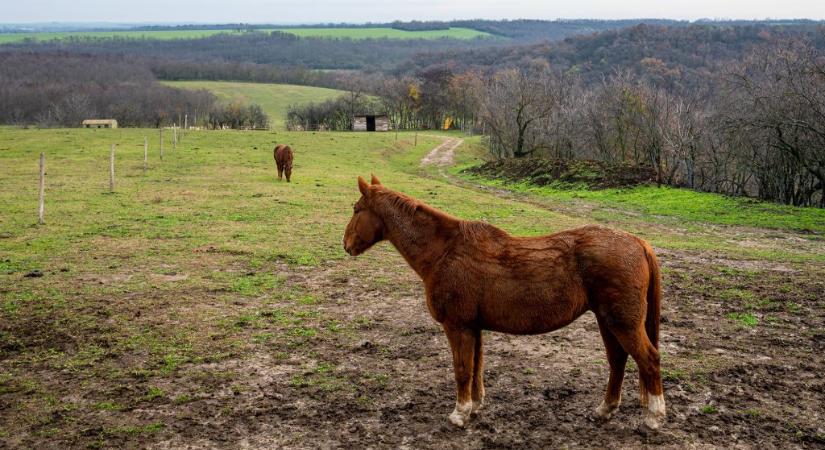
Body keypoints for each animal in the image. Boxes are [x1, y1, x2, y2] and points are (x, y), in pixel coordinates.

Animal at [344, 175, 668, 428]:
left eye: (357, 209)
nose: (346, 245)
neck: (445, 251)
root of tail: (638, 242)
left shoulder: (457, 326)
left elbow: (462, 369)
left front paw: (459, 414)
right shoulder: (473, 327)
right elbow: (476, 367)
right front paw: (474, 406)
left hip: (623, 323)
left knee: (649, 360)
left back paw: (654, 417)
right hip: (607, 321)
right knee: (618, 360)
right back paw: (605, 410)